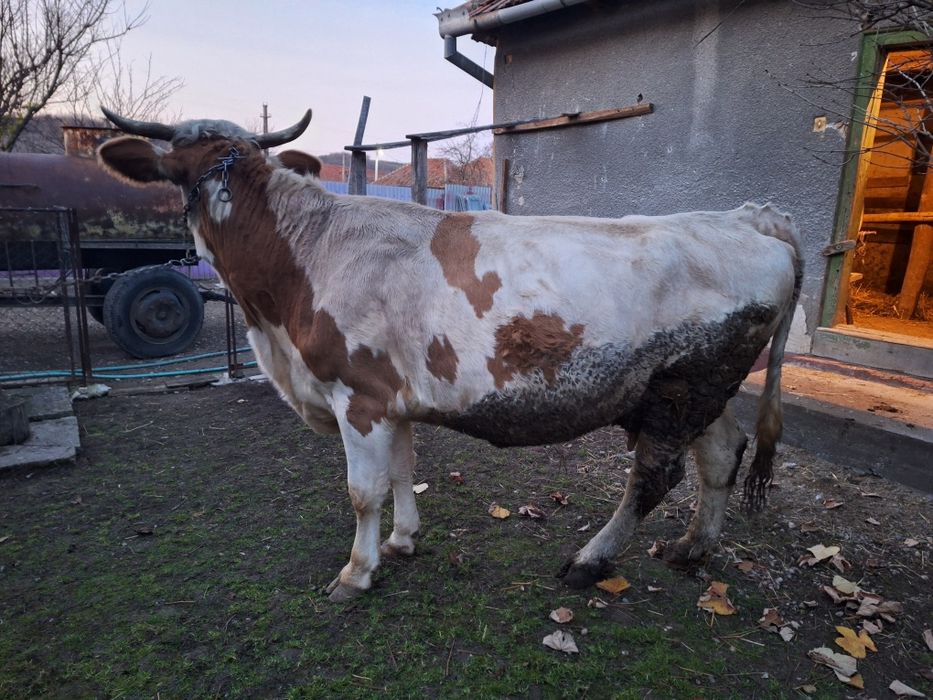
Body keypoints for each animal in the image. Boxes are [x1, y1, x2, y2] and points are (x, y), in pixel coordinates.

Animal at [97, 108, 802, 602]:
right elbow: (403, 472)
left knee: (655, 477)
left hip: (682, 388)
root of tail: (744, 216)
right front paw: (403, 541)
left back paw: (590, 560)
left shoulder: (358, 396)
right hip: (705, 389)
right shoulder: (393, 400)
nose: (215, 202)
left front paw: (357, 572)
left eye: (235, 161)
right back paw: (692, 548)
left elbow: (362, 491)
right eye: (187, 167)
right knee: (721, 455)